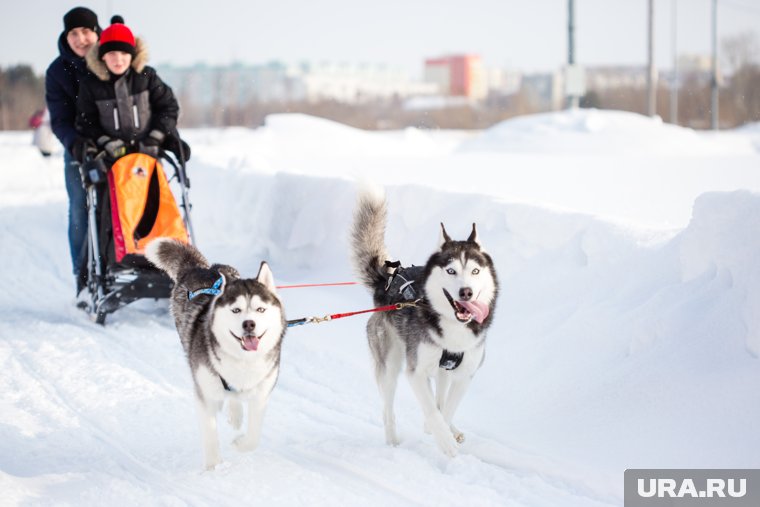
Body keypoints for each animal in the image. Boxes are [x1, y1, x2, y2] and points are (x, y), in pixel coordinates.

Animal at [144, 240, 284, 470]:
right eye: (236, 310)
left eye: (260, 309)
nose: (249, 324)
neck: (242, 362)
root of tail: (199, 268)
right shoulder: (205, 393)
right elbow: (210, 432)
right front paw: (214, 468)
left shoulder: (261, 393)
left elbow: (254, 437)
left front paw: (240, 444)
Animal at [352, 189, 498, 458]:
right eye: (451, 271)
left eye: (475, 271)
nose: (466, 292)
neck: (453, 327)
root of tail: (385, 282)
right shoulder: (416, 372)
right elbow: (432, 409)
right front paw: (444, 441)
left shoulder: (464, 374)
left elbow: (445, 408)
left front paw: (443, 431)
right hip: (390, 365)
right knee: (388, 409)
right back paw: (393, 442)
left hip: (440, 372)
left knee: (439, 397)